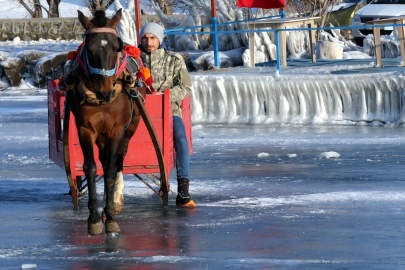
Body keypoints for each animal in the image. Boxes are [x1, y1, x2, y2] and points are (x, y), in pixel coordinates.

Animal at [66, 9, 147, 235]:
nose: (105, 92)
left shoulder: (117, 130)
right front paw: (94, 218)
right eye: (89, 48)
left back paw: (115, 199)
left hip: (131, 127)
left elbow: (111, 170)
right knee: (103, 158)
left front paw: (110, 215)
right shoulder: (85, 129)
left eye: (115, 47)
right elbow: (91, 168)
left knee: (118, 159)